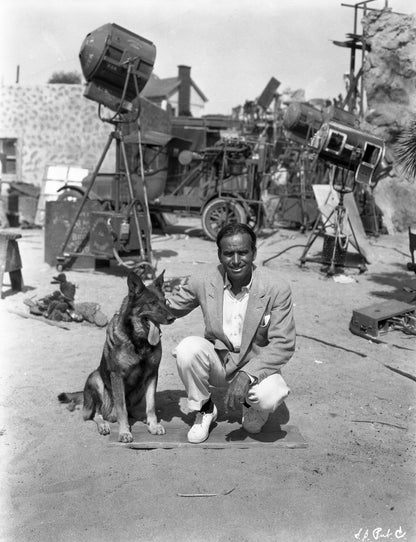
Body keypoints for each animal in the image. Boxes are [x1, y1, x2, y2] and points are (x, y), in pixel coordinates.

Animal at [58, 270, 174, 444]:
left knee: (132, 410)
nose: (173, 318)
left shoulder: (152, 374)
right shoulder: (117, 375)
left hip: (139, 389)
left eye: (165, 301)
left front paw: (153, 425)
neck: (138, 340)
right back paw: (103, 424)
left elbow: (151, 405)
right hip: (95, 379)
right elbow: (122, 408)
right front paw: (124, 432)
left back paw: (142, 418)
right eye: (152, 303)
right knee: (95, 414)